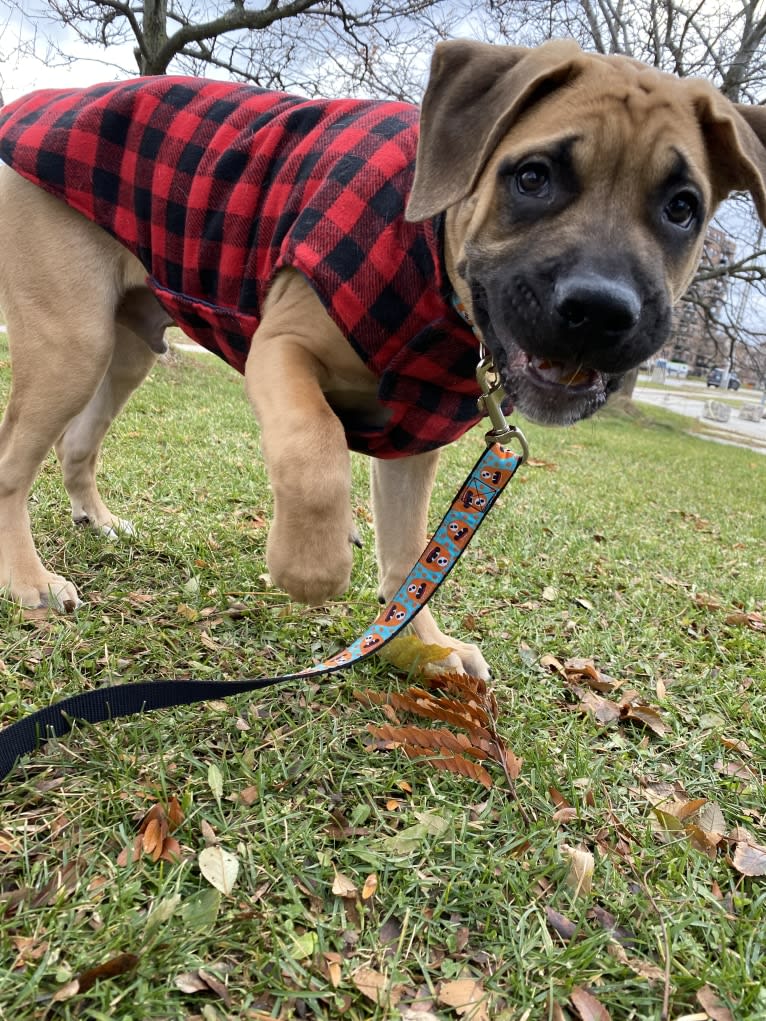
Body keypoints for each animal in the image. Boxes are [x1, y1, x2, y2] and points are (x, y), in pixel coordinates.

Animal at [1, 39, 766, 677]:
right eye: (533, 177)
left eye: (682, 208)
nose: (601, 309)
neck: (434, 264)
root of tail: (41, 101)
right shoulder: (281, 347)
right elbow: (314, 451)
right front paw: (310, 570)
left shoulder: (413, 437)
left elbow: (412, 555)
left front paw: (421, 641)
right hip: (72, 343)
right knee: (13, 463)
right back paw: (30, 580)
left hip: (128, 344)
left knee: (77, 442)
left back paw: (97, 519)